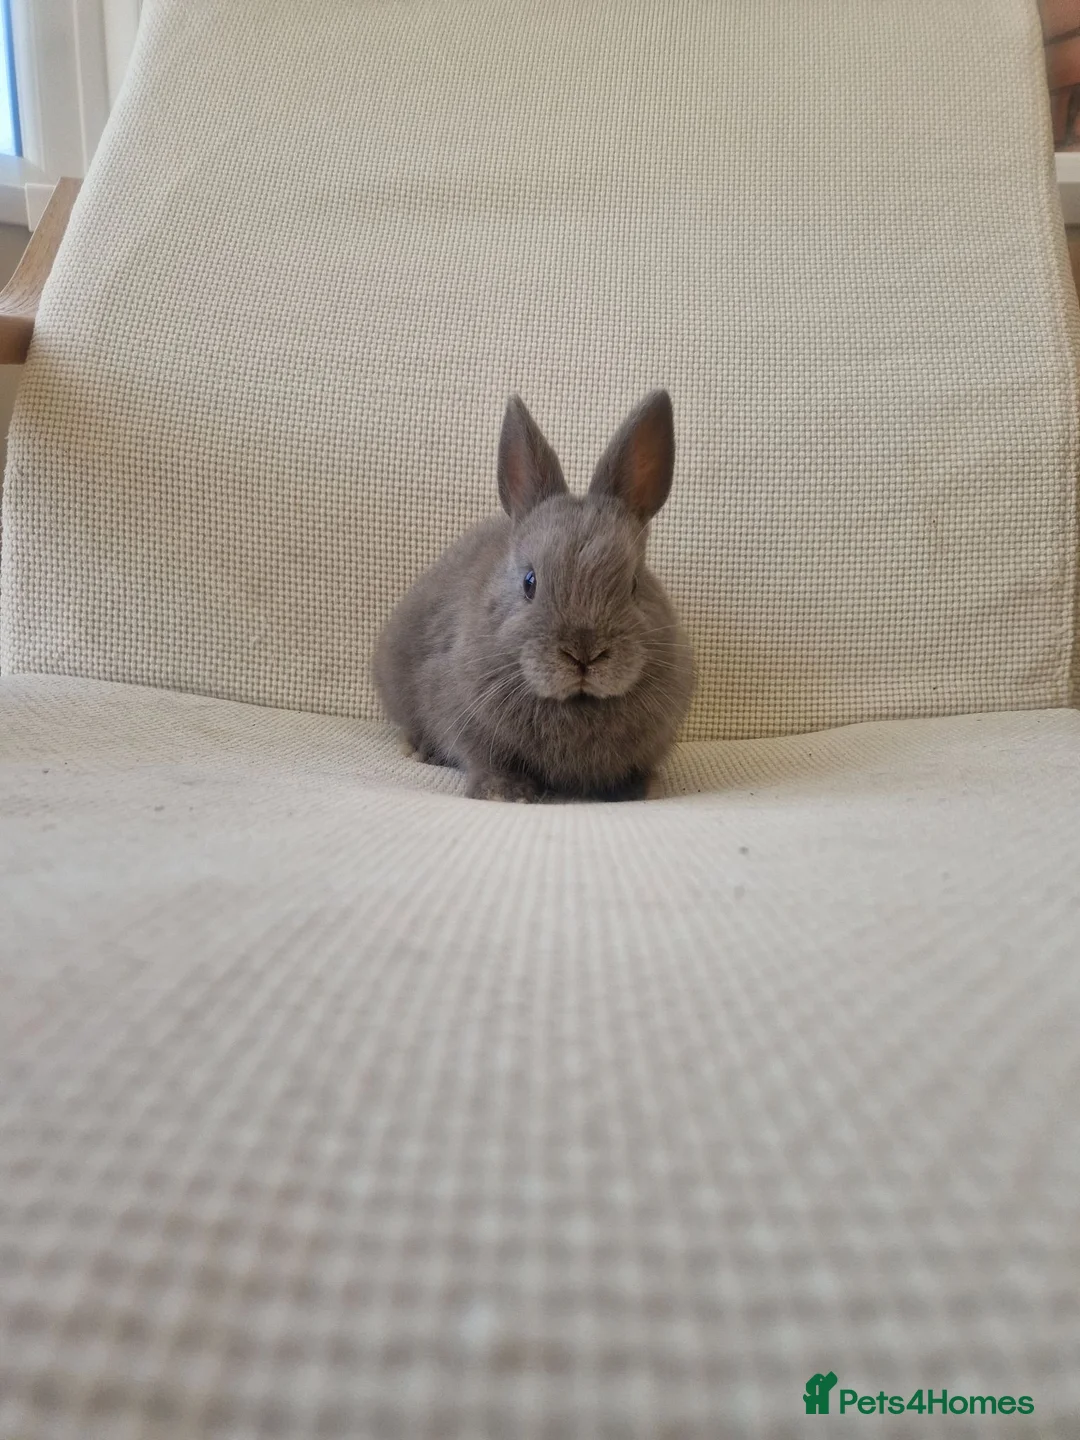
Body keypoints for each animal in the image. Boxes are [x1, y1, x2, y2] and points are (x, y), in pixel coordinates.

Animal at [372, 389, 695, 801]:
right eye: (530, 582)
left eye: (635, 584)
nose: (583, 653)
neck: (578, 704)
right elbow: (487, 759)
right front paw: (505, 793)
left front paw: (641, 789)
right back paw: (419, 749)